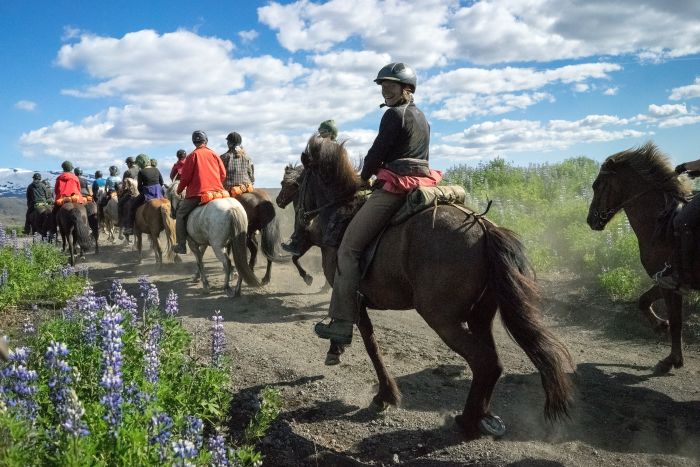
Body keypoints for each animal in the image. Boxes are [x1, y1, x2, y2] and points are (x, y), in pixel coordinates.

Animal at [300, 136, 576, 438]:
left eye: (299, 179)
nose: (302, 223)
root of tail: (485, 229)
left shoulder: (352, 297)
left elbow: (371, 345)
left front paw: (383, 394)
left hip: (442, 319)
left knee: (485, 363)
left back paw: (468, 421)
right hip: (480, 317)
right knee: (493, 362)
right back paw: (482, 416)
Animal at [584, 143, 696, 376]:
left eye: (597, 185)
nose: (590, 220)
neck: (662, 224)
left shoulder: (670, 283)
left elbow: (677, 321)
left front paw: (671, 359)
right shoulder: (665, 280)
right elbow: (643, 301)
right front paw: (660, 326)